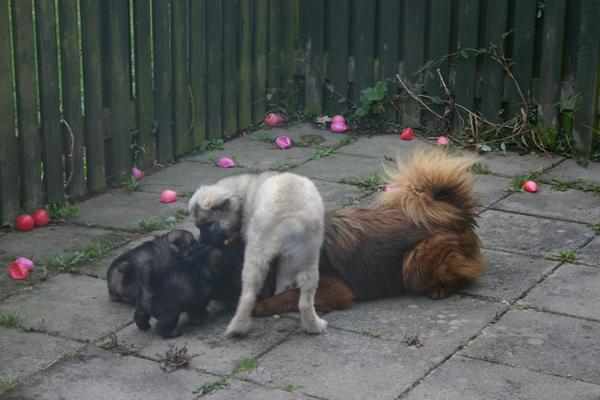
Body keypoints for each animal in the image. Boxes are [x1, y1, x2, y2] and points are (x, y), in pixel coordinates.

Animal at [189, 170, 326, 336]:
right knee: (305, 296)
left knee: (248, 296)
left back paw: (237, 327)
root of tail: (291, 214)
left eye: (208, 224)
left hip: (256, 250)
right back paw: (314, 326)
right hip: (310, 255)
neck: (242, 194)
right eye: (198, 226)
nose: (202, 243)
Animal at [251, 148, 486, 314]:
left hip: (415, 261)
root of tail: (457, 214)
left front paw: (261, 306)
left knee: (466, 274)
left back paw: (440, 289)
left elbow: (290, 294)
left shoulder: (335, 287)